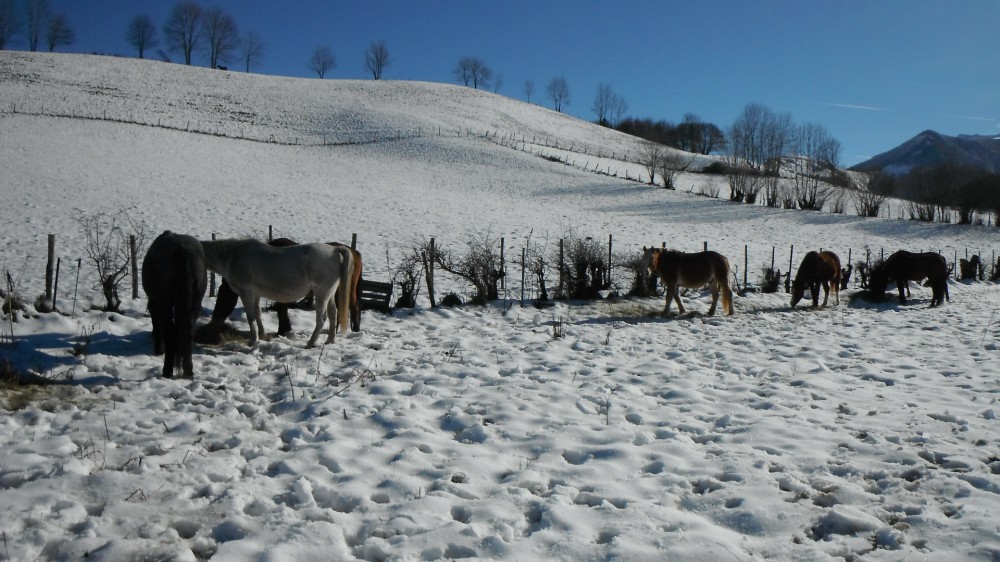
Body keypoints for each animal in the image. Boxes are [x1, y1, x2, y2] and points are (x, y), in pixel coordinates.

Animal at [143, 230, 207, 378]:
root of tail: (182, 249)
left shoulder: (156, 304)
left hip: (164, 304)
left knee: (170, 333)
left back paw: (167, 370)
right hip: (195, 304)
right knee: (189, 332)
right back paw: (188, 370)